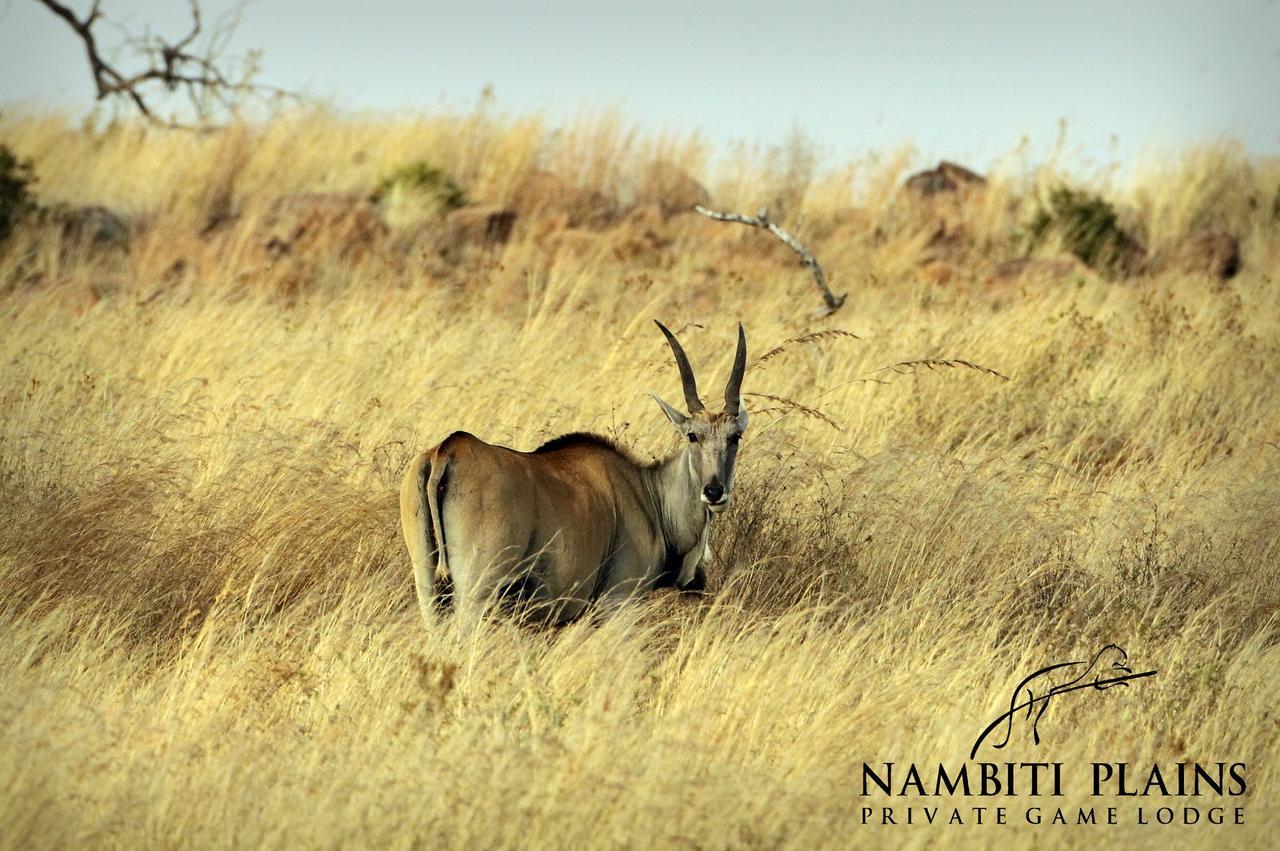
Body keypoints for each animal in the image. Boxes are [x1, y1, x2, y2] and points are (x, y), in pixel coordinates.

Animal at [399, 318, 747, 624]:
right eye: (693, 436)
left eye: (735, 437)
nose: (714, 492)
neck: (648, 492)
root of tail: (447, 450)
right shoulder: (618, 603)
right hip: (476, 592)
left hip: (428, 587)